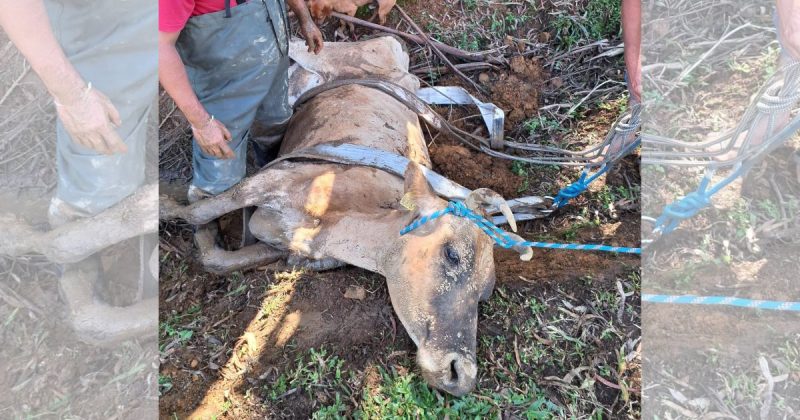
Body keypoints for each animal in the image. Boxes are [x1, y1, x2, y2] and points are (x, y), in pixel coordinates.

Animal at [160, 37, 532, 396]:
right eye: (452, 254)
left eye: (484, 293)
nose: (460, 373)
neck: (338, 223)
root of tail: (392, 46)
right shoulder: (269, 180)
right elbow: (200, 209)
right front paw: (168, 204)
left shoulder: (283, 244)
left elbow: (219, 259)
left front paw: (204, 231)